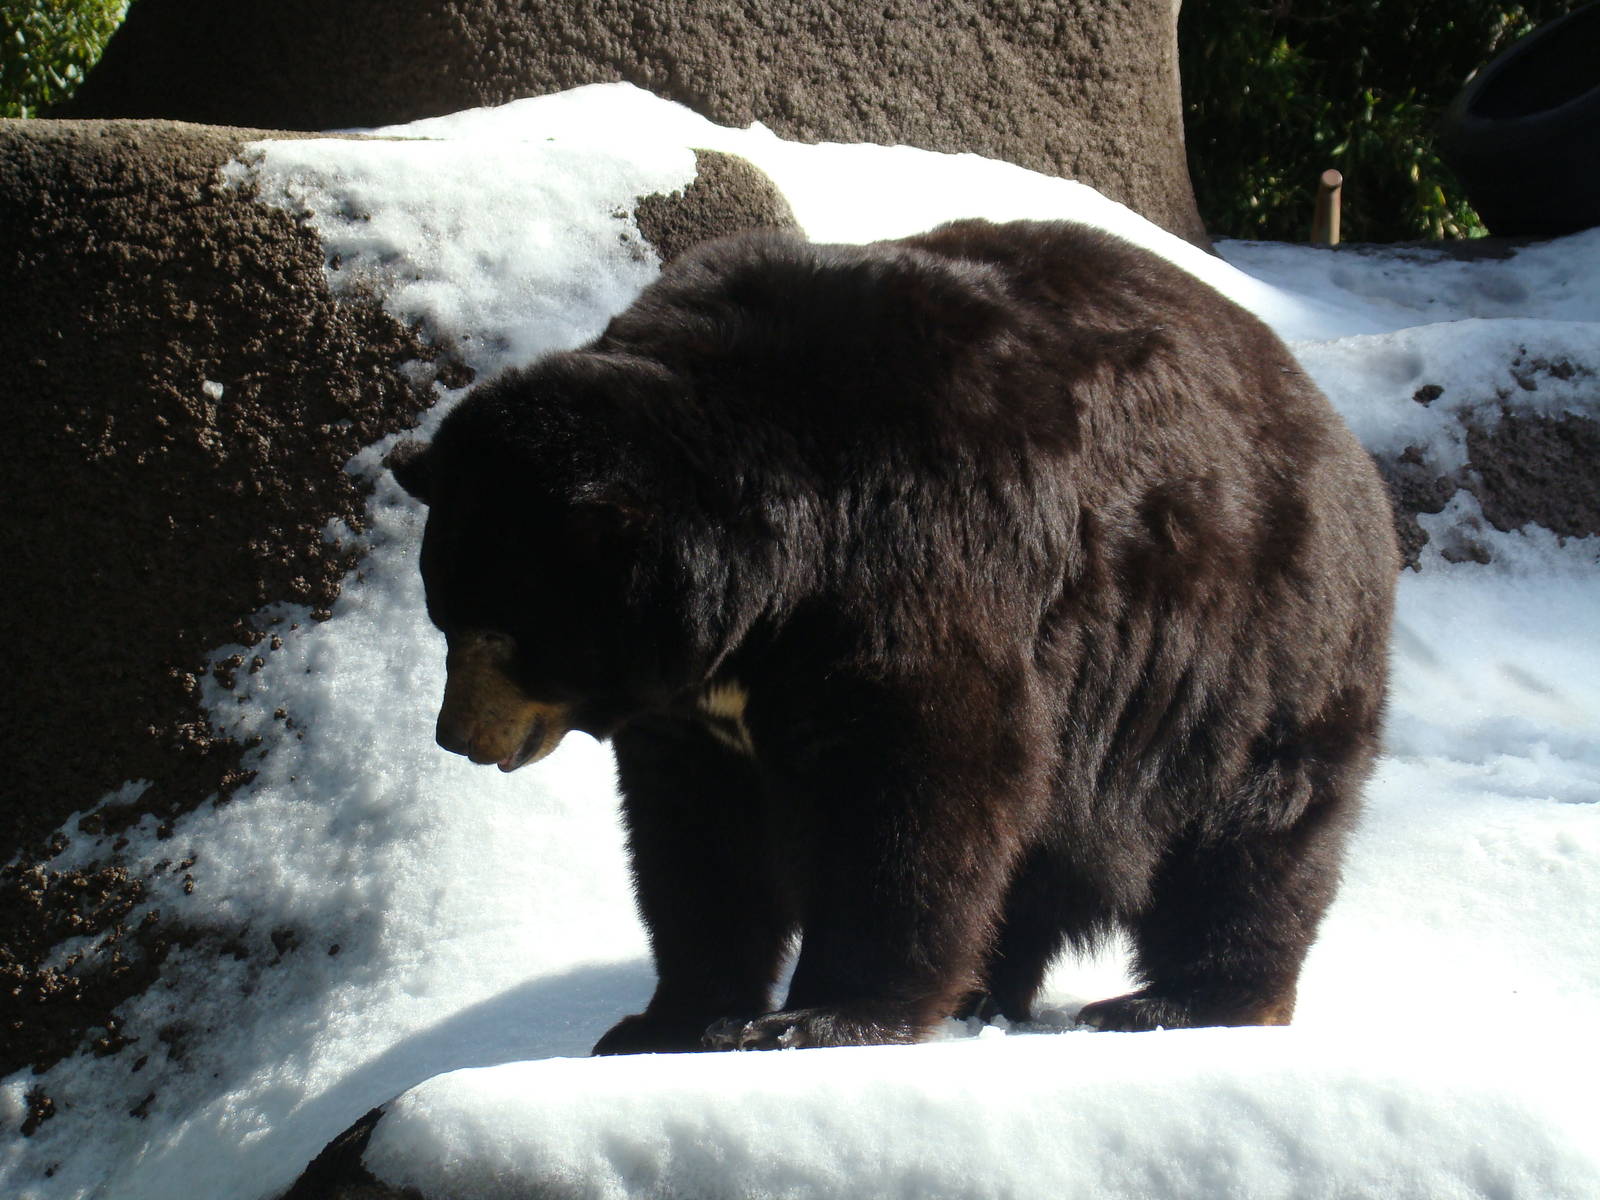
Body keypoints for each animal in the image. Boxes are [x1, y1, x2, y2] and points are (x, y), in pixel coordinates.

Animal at [386, 218, 1398, 1053]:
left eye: (505, 627)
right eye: (445, 615)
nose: (456, 735)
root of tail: (1330, 421)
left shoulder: (925, 560)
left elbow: (919, 785)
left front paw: (815, 1015)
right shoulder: (700, 713)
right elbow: (696, 837)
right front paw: (664, 1019)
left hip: (1251, 644)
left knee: (1252, 827)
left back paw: (1180, 1000)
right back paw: (992, 989)